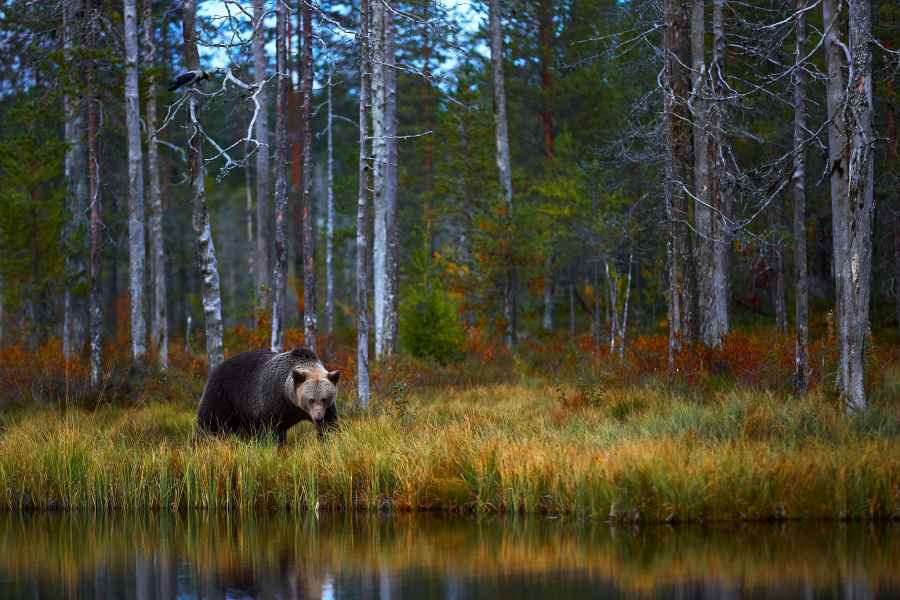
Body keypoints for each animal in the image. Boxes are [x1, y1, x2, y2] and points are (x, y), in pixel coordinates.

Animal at [196, 347, 340, 445]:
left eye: (324, 399)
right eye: (310, 400)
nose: (318, 418)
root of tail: (216, 369)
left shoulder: (327, 409)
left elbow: (330, 427)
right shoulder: (274, 402)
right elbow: (273, 432)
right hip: (222, 397)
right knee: (209, 424)